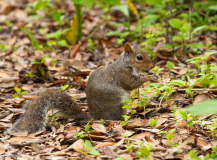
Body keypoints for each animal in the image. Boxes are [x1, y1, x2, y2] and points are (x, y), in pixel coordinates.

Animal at [6, 42, 158, 134]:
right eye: (139, 57)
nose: (152, 66)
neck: (124, 64)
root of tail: (94, 118)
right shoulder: (122, 75)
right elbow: (132, 84)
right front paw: (149, 77)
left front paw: (153, 75)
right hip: (117, 103)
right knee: (117, 118)